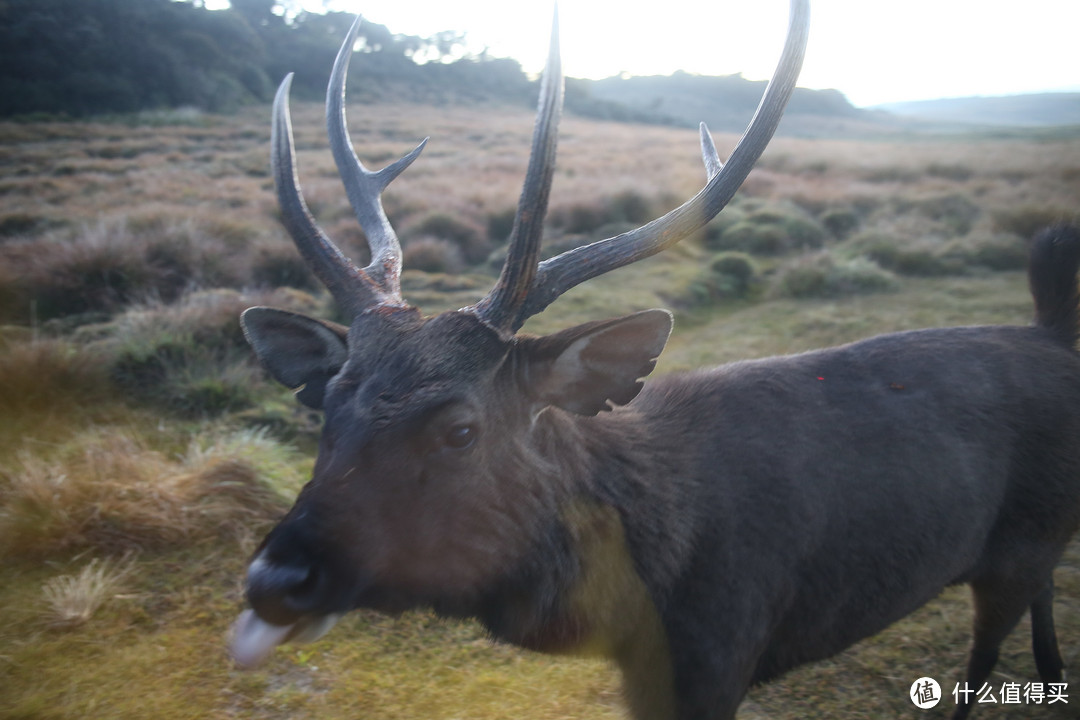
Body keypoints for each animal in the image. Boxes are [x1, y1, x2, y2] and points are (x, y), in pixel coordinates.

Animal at [227, 2, 1080, 716]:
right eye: (327, 405)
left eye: (461, 429)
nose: (275, 578)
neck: (648, 590)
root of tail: (1053, 330)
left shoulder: (721, 653)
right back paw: (1052, 669)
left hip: (1021, 542)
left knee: (984, 653)